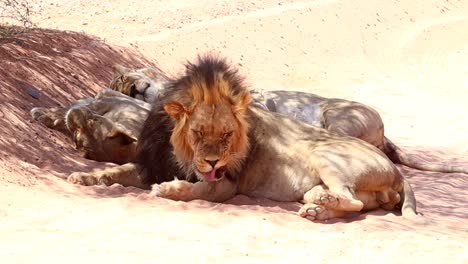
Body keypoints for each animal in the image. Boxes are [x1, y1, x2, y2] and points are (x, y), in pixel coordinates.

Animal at [68, 55, 416, 221]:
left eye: (227, 133)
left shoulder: (227, 184)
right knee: (354, 204)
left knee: (351, 199)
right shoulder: (153, 164)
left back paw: (322, 203)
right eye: (198, 131)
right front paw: (85, 178)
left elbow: (200, 191)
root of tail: (396, 172)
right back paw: (316, 208)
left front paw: (171, 189)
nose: (212, 160)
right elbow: (117, 172)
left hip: (325, 153)